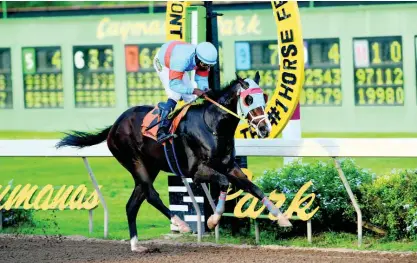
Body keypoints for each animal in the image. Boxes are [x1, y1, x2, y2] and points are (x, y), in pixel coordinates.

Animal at [55, 72, 290, 254]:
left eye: (264, 96)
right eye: (249, 99)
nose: (264, 128)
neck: (212, 125)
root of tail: (114, 125)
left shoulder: (229, 166)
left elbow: (255, 189)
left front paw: (283, 219)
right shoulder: (197, 171)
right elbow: (224, 183)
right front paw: (212, 220)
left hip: (150, 167)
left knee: (133, 203)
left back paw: (136, 245)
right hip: (135, 162)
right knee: (151, 194)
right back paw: (182, 224)